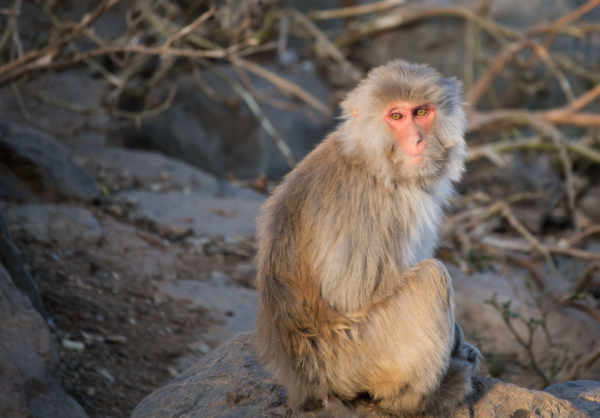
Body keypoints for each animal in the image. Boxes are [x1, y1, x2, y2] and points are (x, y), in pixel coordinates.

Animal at [255, 59, 480, 418]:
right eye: (396, 116)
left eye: (421, 112)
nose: (417, 140)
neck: (375, 160)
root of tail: (303, 384)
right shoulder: (371, 205)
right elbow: (350, 294)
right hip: (356, 360)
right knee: (431, 278)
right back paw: (419, 400)